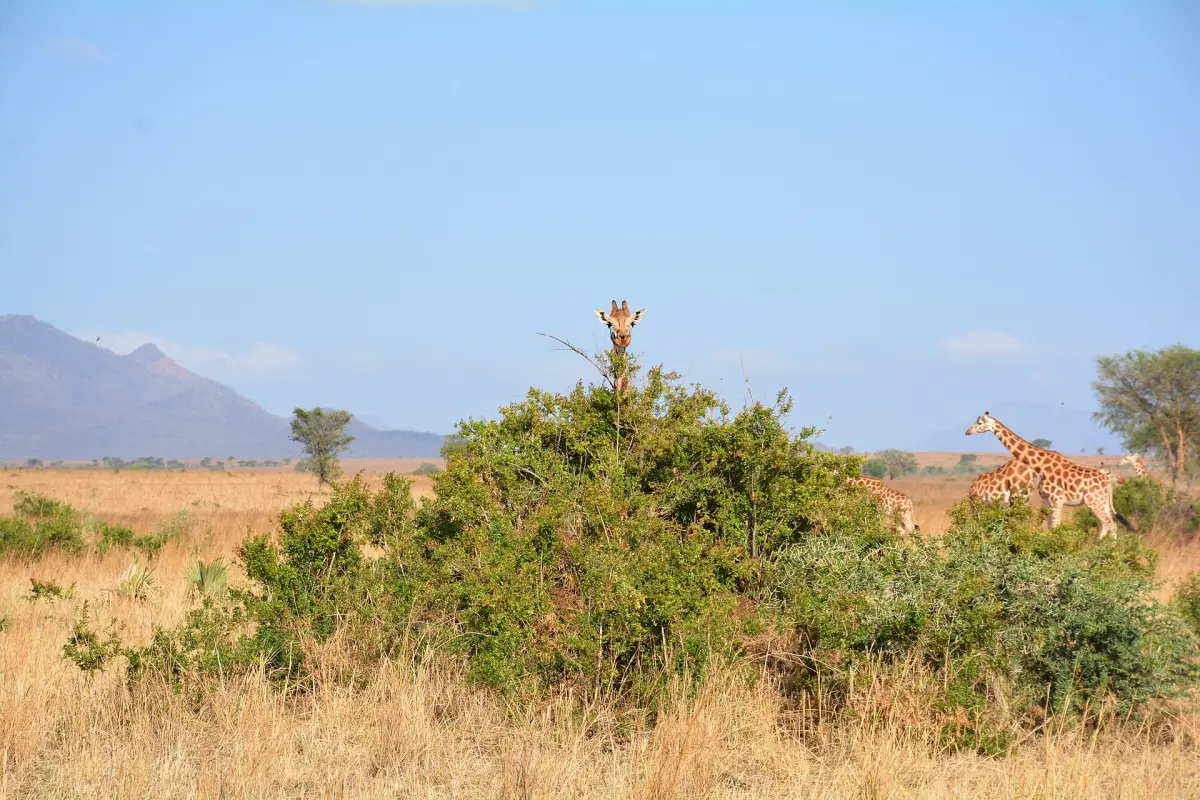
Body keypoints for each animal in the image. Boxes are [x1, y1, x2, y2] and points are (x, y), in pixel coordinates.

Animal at [964, 412, 1133, 538]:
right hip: (1102, 502)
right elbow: (1049, 527)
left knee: (1108, 523)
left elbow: (1055, 528)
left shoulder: (1056, 500)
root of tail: (1107, 483)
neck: (1040, 466)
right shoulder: (1046, 501)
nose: (967, 432)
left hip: (1094, 502)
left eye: (979, 423)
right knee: (1112, 524)